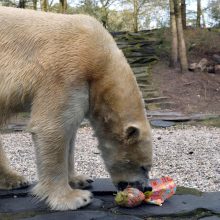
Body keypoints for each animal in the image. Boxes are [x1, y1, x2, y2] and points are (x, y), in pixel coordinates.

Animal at [0, 6, 152, 210]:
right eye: (143, 166)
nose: (147, 187)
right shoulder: (66, 71)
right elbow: (51, 127)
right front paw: (74, 198)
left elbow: (70, 131)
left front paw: (80, 179)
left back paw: (14, 179)